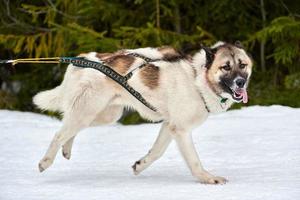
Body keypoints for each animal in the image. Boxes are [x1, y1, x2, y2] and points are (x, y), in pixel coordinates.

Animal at [34, 40, 252, 184]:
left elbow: (156, 152)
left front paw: (140, 165)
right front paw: (208, 178)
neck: (197, 78)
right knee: (59, 134)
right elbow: (194, 161)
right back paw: (45, 161)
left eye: (242, 65)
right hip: (87, 111)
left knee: (70, 130)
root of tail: (81, 59)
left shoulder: (169, 126)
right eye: (225, 67)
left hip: (104, 115)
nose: (241, 82)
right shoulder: (180, 130)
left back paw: (66, 148)